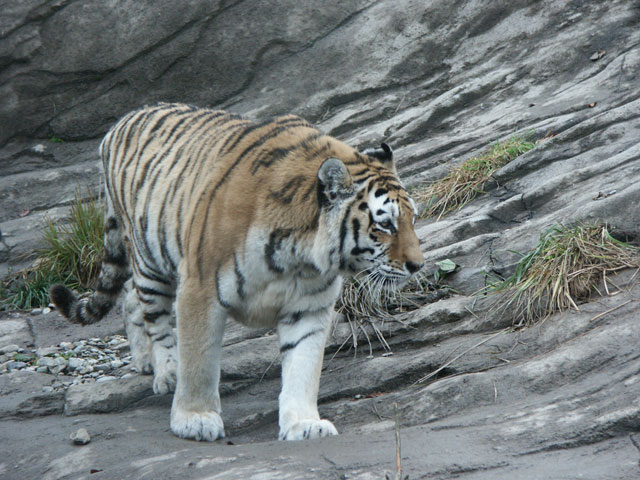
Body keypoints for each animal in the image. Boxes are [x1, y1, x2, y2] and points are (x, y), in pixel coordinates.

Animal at [50, 102, 424, 442]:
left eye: (412, 219)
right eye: (385, 225)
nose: (418, 265)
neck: (298, 256)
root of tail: (120, 122)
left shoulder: (308, 308)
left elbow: (303, 367)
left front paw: (304, 424)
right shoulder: (199, 288)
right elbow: (199, 362)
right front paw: (195, 419)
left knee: (129, 300)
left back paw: (144, 361)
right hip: (150, 257)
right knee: (151, 313)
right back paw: (166, 371)